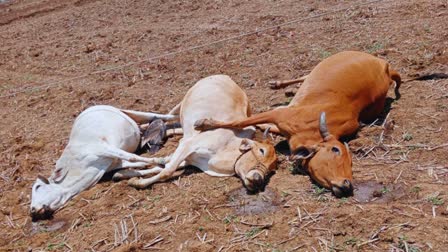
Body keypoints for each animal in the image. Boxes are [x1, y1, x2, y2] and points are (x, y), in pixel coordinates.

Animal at [30, 105, 178, 220]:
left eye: (38, 187)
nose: (32, 210)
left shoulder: (104, 148)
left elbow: (132, 157)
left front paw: (163, 160)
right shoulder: (113, 163)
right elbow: (135, 165)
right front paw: (156, 167)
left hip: (132, 112)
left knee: (162, 116)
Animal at [114, 74, 278, 191]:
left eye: (272, 169)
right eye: (262, 151)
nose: (258, 179)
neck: (228, 148)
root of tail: (226, 77)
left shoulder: (190, 156)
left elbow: (163, 164)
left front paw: (125, 175)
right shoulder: (189, 145)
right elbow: (167, 170)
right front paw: (136, 182)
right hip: (182, 102)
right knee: (166, 116)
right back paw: (146, 127)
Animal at [196, 50, 402, 197]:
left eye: (351, 161)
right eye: (336, 150)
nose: (347, 185)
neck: (310, 129)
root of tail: (385, 66)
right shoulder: (279, 114)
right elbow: (241, 121)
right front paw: (205, 123)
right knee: (303, 76)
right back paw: (281, 86)